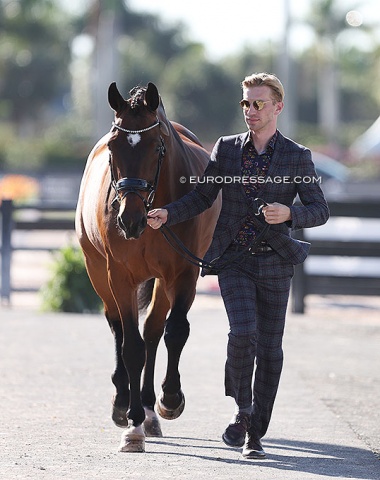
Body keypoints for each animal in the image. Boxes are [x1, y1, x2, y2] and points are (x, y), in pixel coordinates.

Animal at [74, 82, 221, 454]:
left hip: (162, 281)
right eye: (113, 146)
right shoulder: (119, 277)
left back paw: (151, 409)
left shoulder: (183, 274)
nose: (129, 220)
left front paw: (169, 401)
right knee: (118, 327)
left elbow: (174, 332)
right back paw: (123, 404)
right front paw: (132, 425)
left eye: (157, 147)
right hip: (97, 272)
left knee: (154, 330)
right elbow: (130, 345)